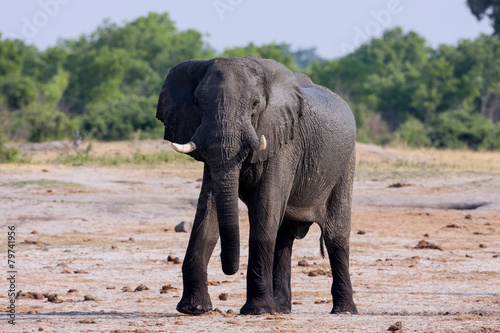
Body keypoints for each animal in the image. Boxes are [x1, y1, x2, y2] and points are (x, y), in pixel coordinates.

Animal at [155, 54, 356, 314]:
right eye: (197, 103)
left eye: (254, 104)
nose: (229, 269)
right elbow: (207, 211)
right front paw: (193, 309)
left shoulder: (285, 142)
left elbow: (265, 208)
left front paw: (257, 311)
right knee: (283, 237)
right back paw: (281, 309)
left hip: (345, 163)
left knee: (335, 235)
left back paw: (343, 311)